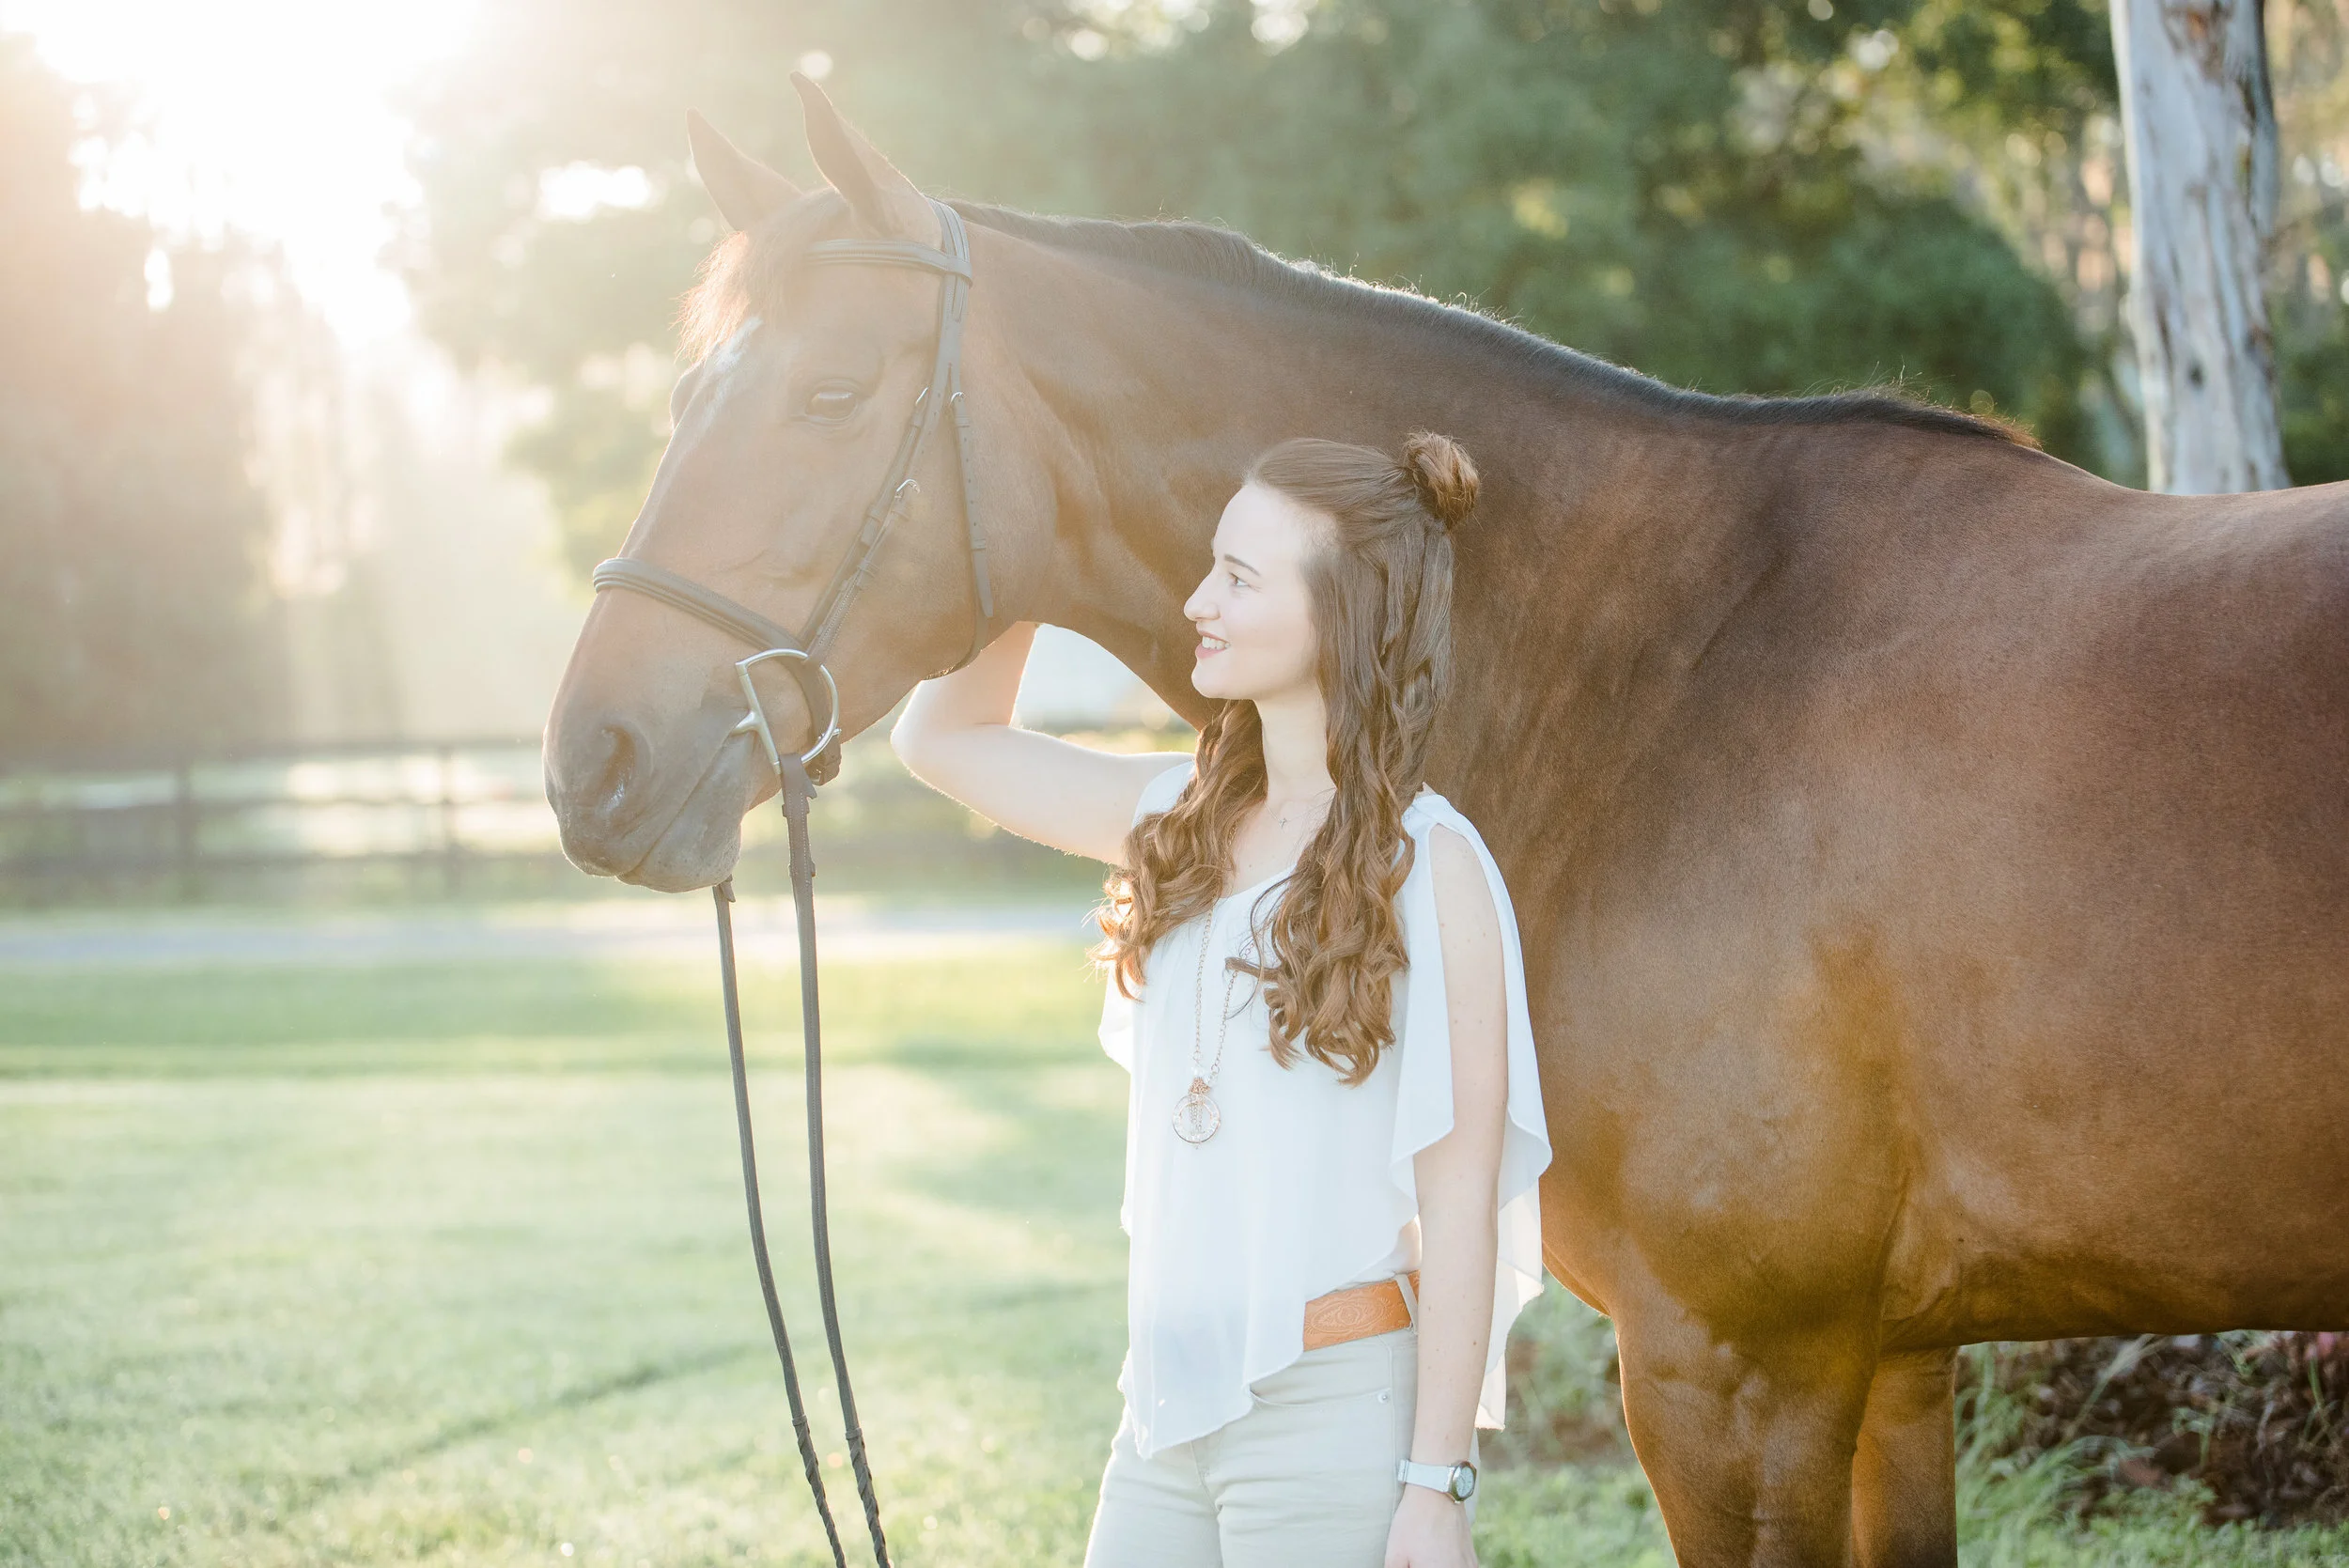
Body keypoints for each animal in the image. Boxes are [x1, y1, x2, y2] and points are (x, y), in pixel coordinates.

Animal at [544, 75, 2349, 1567]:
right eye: (689, 387)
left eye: (833, 392)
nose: (590, 762)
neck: (1672, 679)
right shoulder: (1897, 1367)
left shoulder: (1746, 1366)